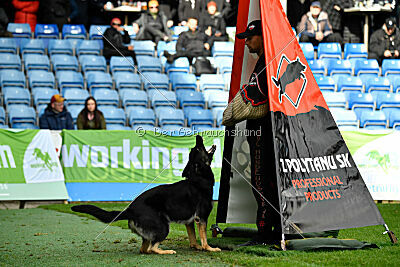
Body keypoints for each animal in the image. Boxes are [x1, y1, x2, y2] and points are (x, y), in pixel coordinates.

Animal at [72, 136, 222, 255]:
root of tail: (129, 209)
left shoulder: (190, 222)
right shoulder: (201, 218)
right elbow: (204, 237)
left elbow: (193, 236)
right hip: (163, 227)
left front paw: (196, 246)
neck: (198, 178)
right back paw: (166, 251)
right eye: (197, 148)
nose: (198, 137)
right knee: (152, 248)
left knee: (144, 249)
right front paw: (209, 248)